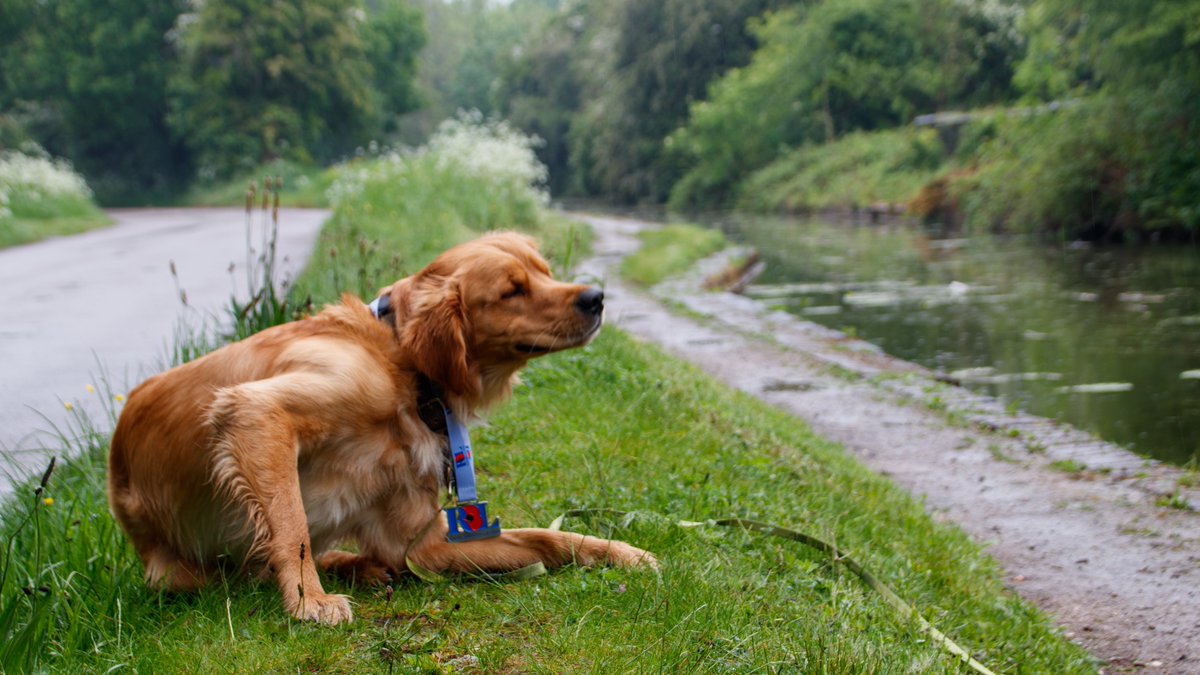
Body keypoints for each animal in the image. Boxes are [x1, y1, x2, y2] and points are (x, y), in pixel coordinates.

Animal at [110, 229, 657, 619]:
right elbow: (292, 526)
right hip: (176, 573)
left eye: (545, 273)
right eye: (511, 292)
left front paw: (621, 553)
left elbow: (547, 538)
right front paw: (310, 602)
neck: (404, 366)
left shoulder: (423, 543)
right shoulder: (257, 413)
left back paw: (360, 566)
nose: (596, 297)